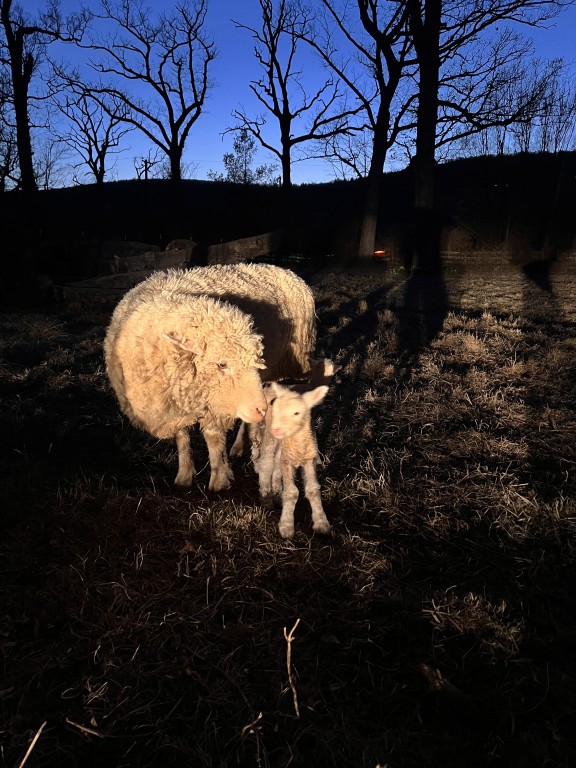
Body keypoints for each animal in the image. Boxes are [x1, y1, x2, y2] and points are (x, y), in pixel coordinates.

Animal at [104, 264, 316, 490]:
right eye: (222, 364)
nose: (261, 410)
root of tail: (287, 271)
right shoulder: (178, 404)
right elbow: (182, 437)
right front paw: (184, 476)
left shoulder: (213, 404)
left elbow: (213, 440)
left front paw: (218, 480)